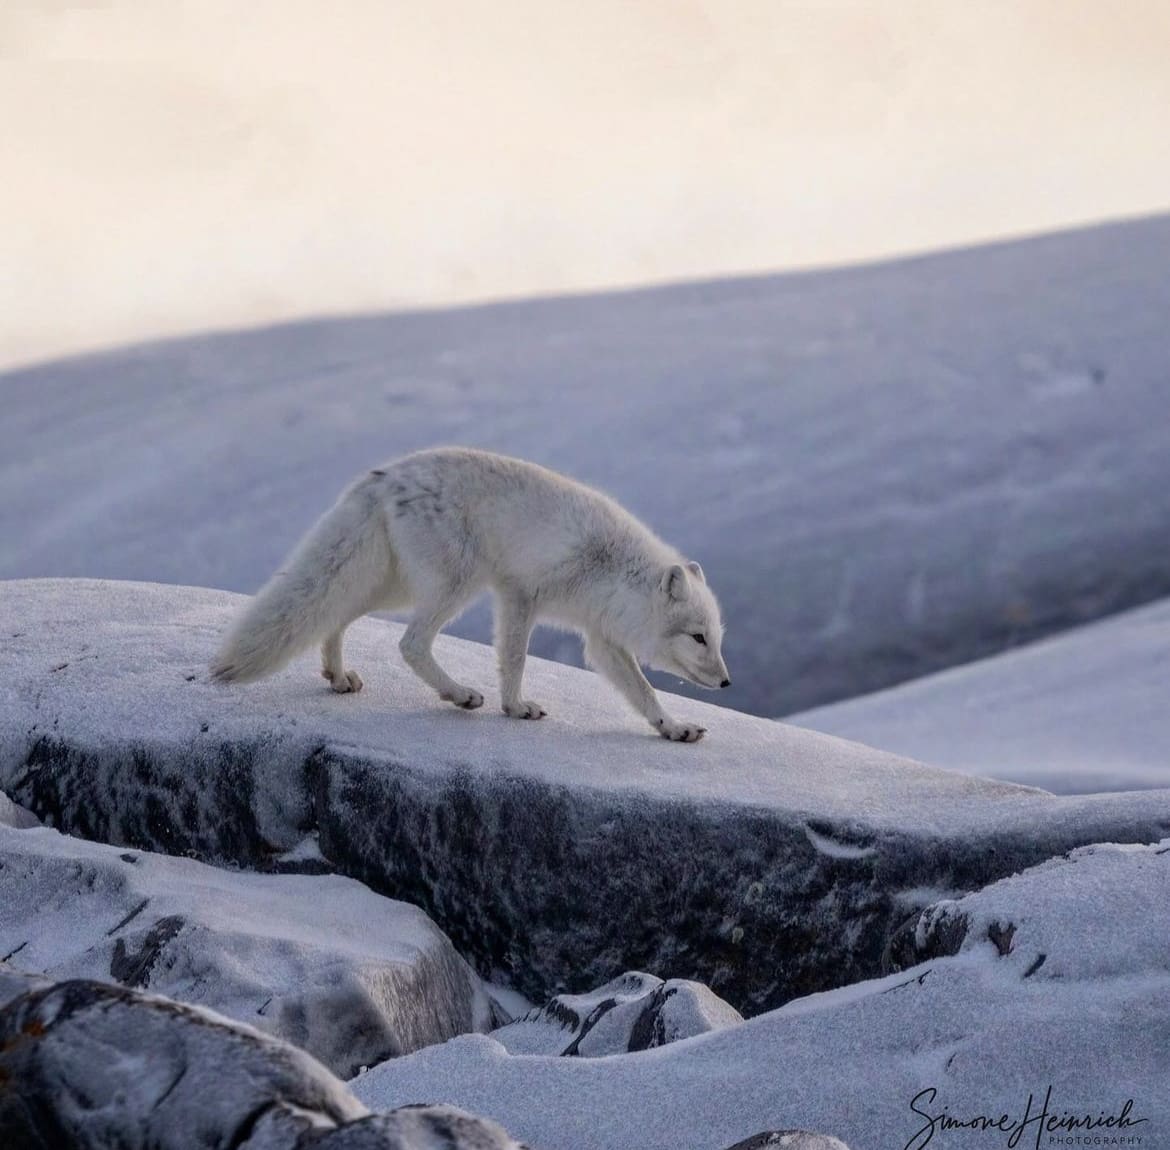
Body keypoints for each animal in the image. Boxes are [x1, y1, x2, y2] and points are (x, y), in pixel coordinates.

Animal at [205, 444, 725, 744]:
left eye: (717, 639)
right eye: (697, 637)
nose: (725, 682)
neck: (611, 568)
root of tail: (386, 474)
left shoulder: (602, 639)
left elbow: (643, 691)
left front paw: (674, 728)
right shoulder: (519, 594)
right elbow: (514, 659)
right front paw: (515, 708)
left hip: (397, 588)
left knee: (337, 614)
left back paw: (337, 677)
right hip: (456, 584)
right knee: (410, 643)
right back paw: (458, 695)